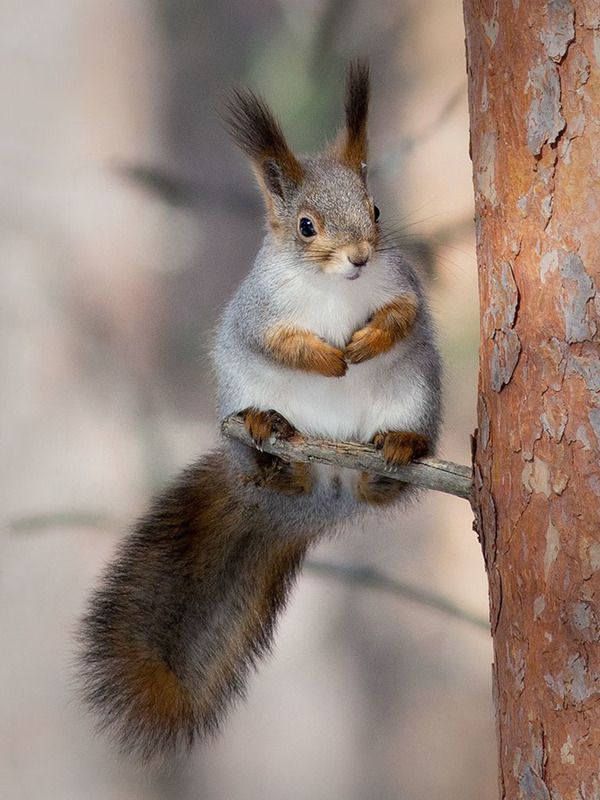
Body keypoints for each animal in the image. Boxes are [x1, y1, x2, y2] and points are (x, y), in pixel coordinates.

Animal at [77, 61, 442, 765]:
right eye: (305, 225)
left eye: (376, 209)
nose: (360, 257)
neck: (335, 289)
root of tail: (325, 489)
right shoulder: (256, 314)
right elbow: (277, 341)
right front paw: (328, 358)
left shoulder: (403, 284)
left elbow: (405, 315)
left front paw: (367, 341)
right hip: (242, 403)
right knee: (267, 460)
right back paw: (269, 440)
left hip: (416, 396)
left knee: (381, 484)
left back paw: (394, 452)